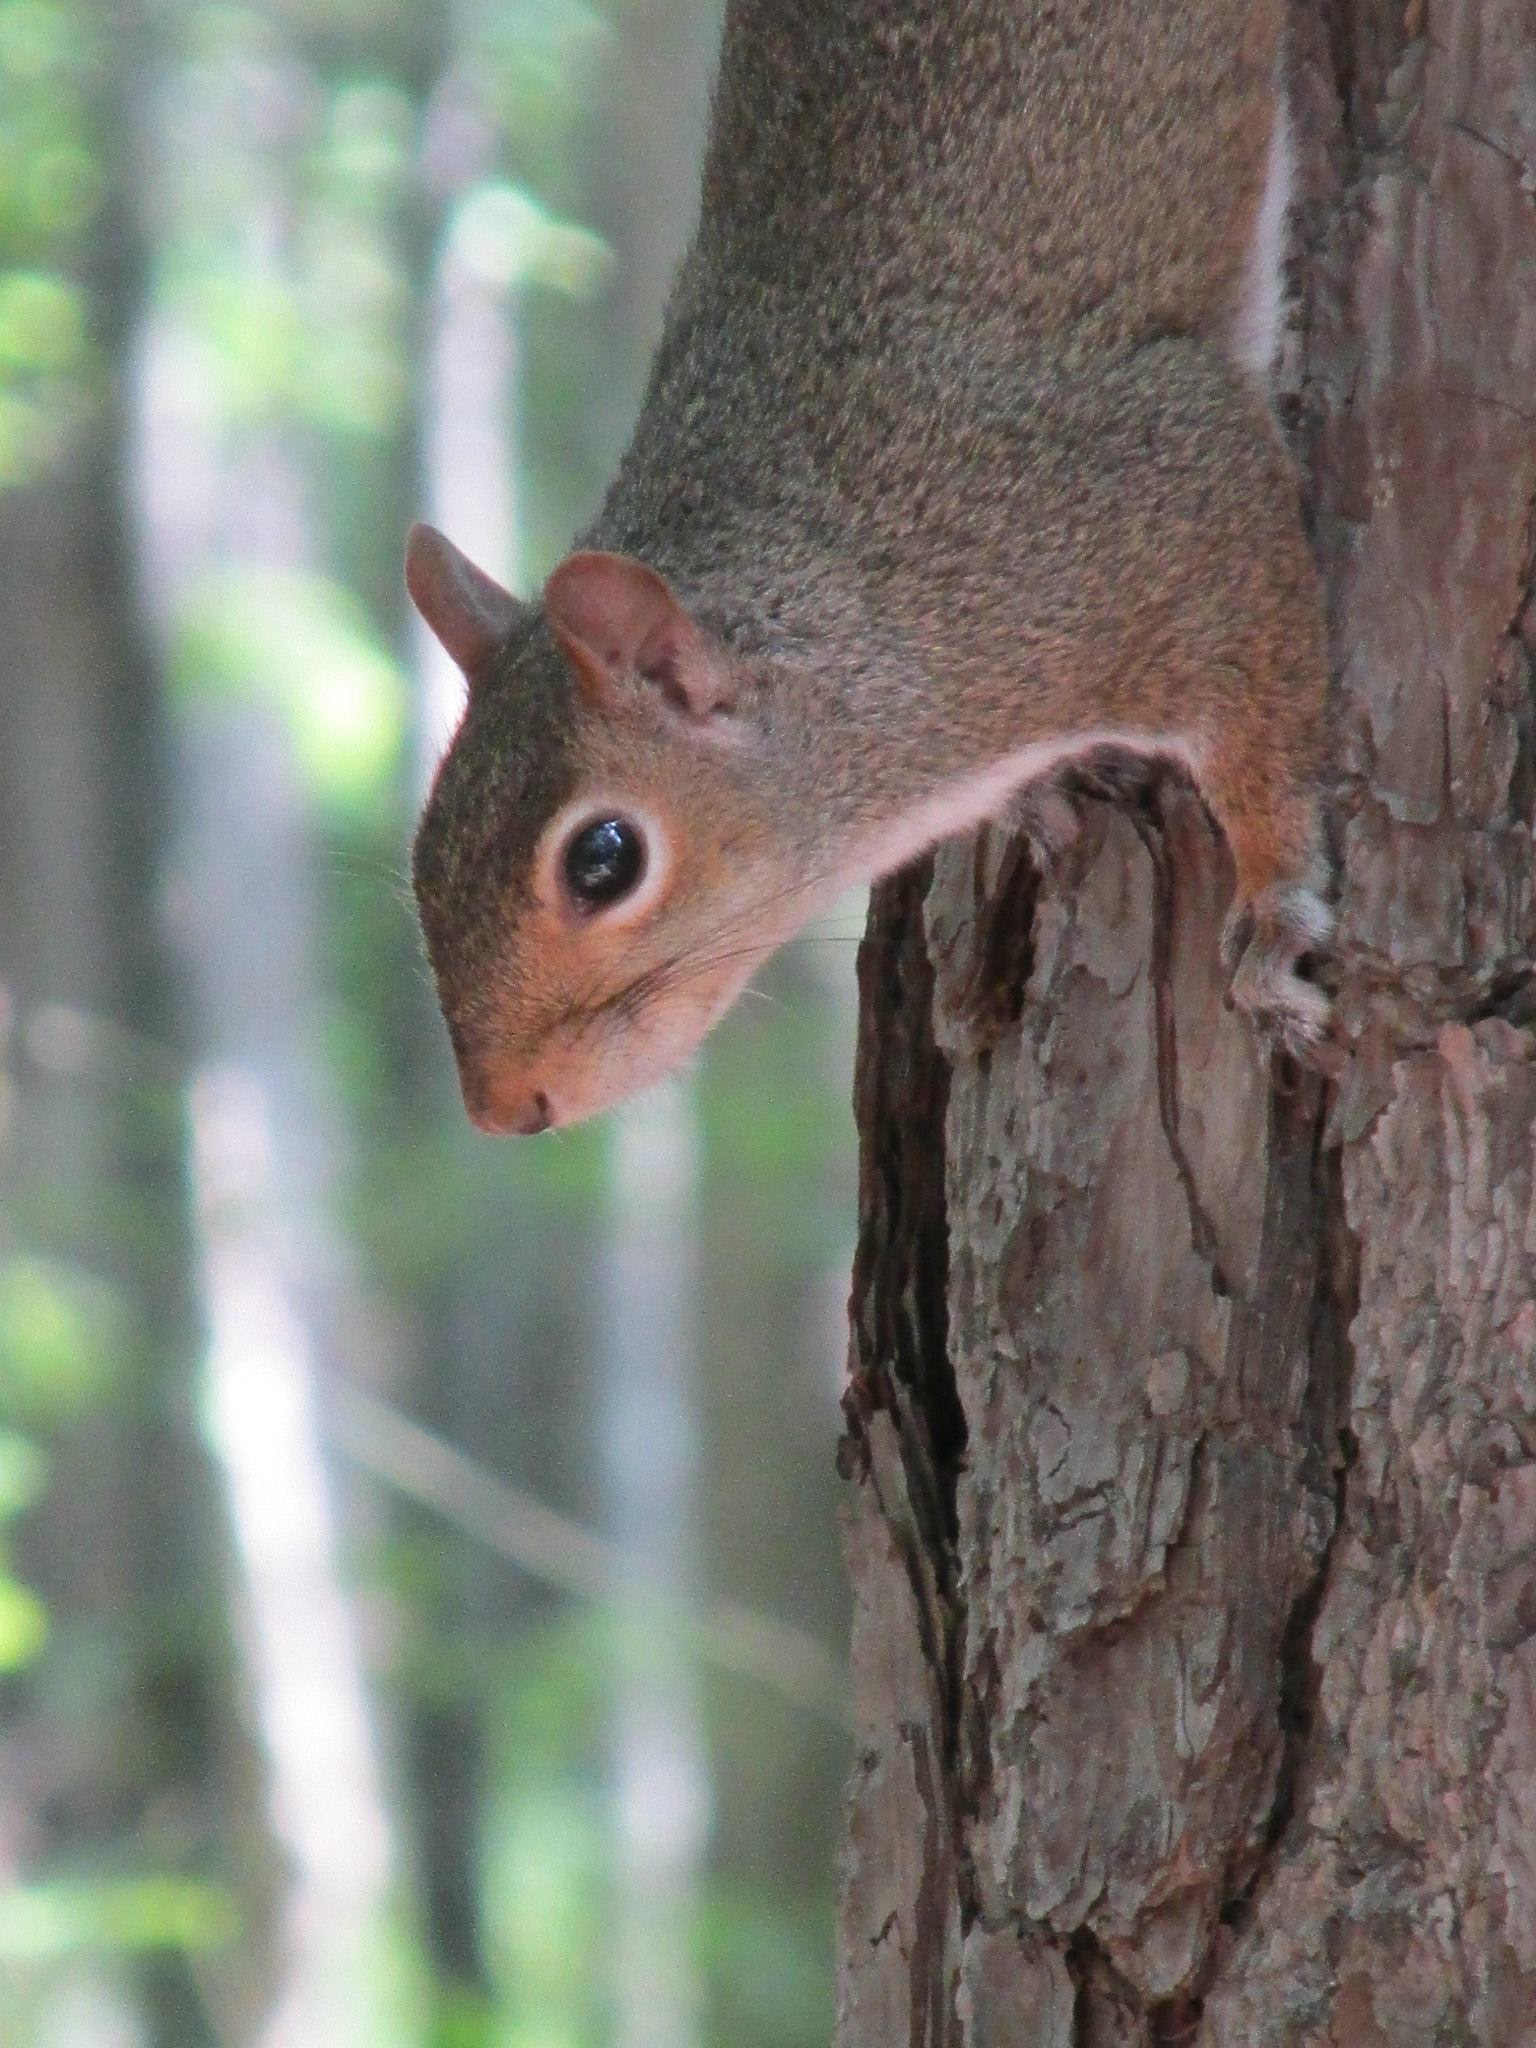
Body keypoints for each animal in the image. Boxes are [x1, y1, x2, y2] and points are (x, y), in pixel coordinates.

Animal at [409, 0, 1335, 1138]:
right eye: (424, 850)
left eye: (603, 859)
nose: (505, 1109)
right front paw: (1034, 807)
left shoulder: (1155, 521)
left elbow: (1264, 716)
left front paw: (1273, 911)